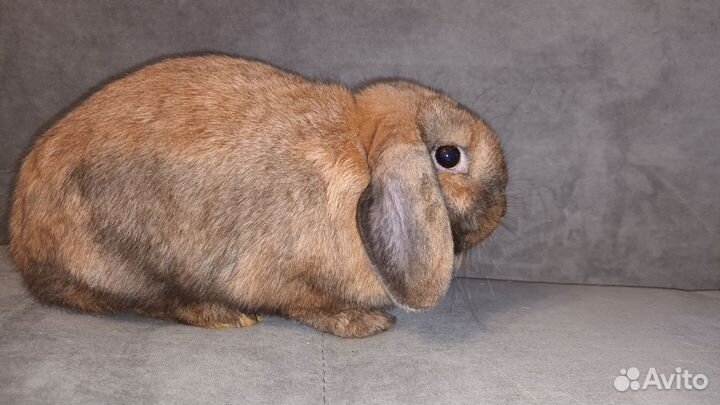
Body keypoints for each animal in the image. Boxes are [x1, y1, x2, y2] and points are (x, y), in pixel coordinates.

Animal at [9, 55, 507, 338]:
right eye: (448, 156)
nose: (499, 213)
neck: (362, 156)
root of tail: (22, 240)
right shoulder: (282, 275)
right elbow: (304, 303)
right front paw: (364, 325)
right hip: (128, 259)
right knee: (154, 301)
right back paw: (225, 316)